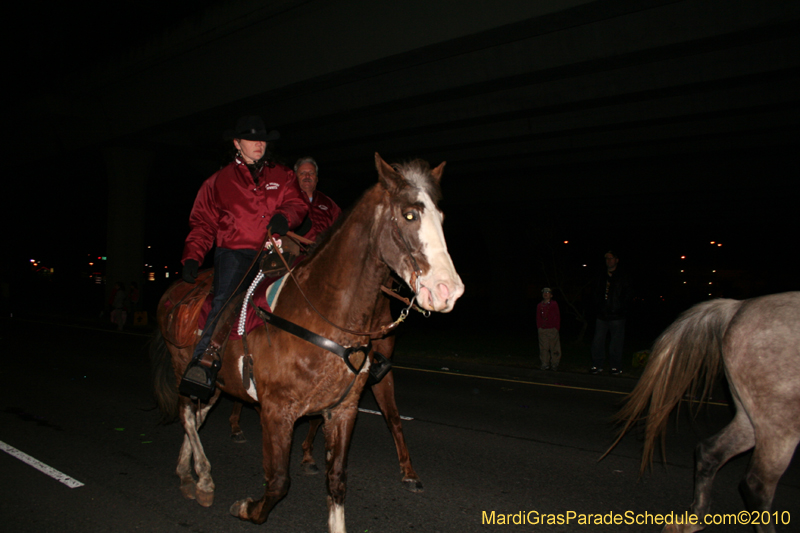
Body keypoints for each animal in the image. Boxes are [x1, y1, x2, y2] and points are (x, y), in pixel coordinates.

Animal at [151, 152, 462, 528]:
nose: (449, 290)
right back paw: (203, 477)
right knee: (187, 413)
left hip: (219, 382)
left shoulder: (342, 410)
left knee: (197, 415)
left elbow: (337, 480)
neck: (323, 314)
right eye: (409, 214)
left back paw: (188, 471)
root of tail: (177, 288)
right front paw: (245, 507)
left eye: (441, 217)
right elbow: (277, 482)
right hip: (186, 366)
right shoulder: (276, 411)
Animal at [608, 294, 800, 528]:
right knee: (756, 483)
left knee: (711, 453)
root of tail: (738, 306)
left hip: (754, 418)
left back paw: (693, 520)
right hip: (778, 420)